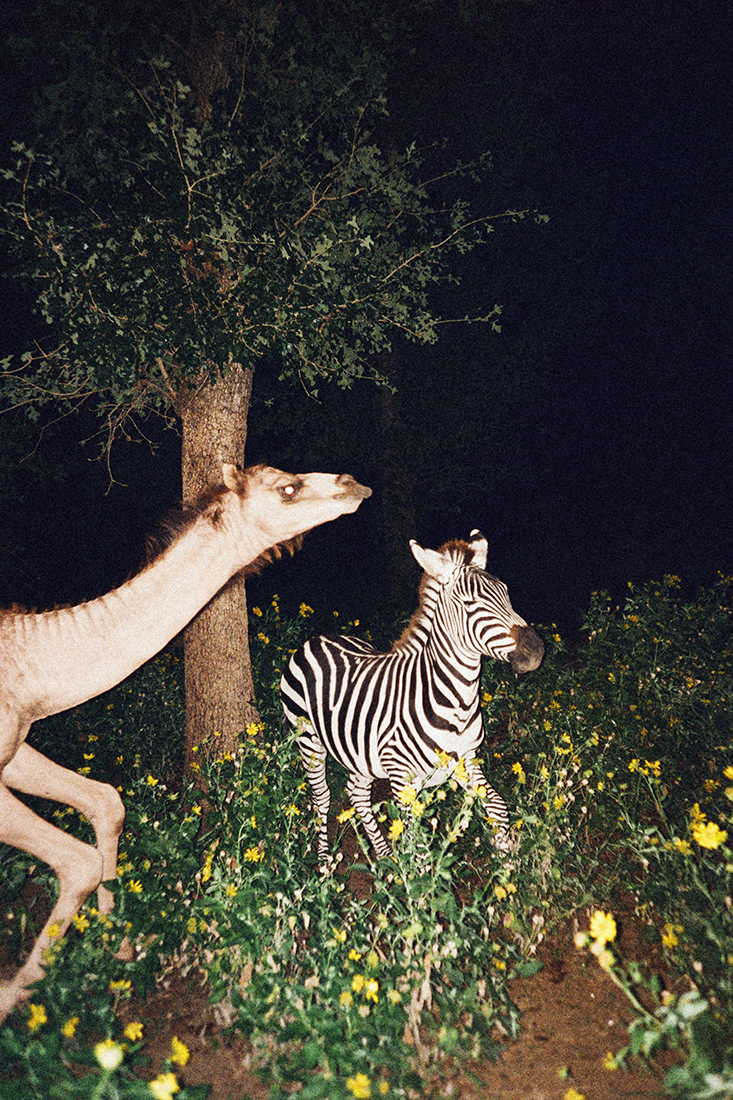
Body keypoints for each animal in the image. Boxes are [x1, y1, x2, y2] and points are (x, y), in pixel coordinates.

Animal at [0, 463, 371, 1022]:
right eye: (287, 488)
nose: (353, 484)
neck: (31, 661)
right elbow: (79, 861)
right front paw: (16, 995)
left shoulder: (16, 746)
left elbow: (106, 803)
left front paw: (117, 943)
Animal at [280, 530, 544, 859]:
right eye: (469, 603)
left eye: (506, 593)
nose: (535, 651)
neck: (457, 704)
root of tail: (316, 639)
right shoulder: (402, 778)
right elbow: (417, 848)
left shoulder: (466, 760)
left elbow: (497, 806)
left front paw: (506, 861)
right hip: (308, 740)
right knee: (322, 798)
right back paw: (326, 861)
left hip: (361, 753)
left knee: (356, 791)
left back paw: (383, 856)